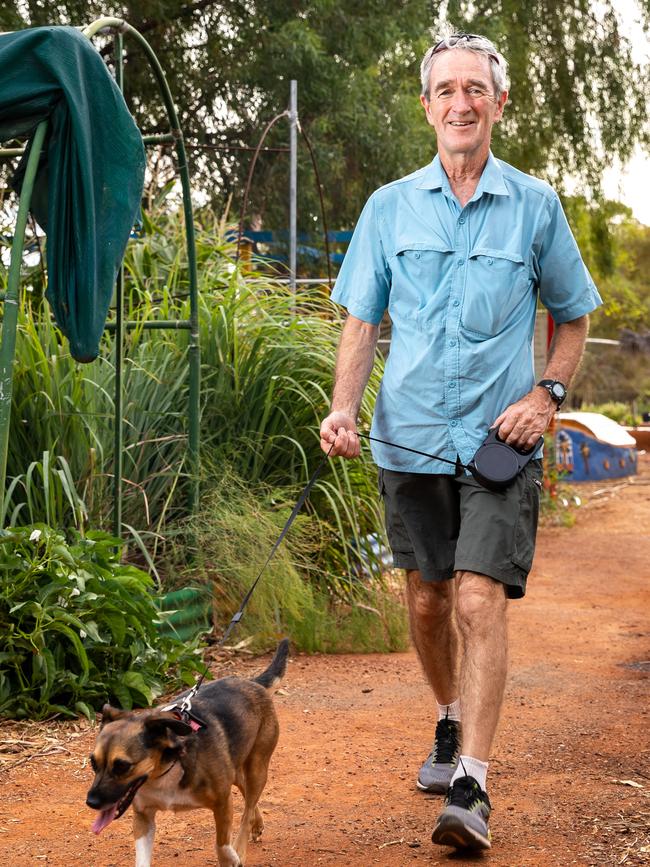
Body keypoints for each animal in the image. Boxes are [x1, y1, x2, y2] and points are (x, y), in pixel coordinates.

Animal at [86, 636, 288, 867]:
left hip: (257, 767)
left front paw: (232, 855)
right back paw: (257, 824)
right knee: (247, 795)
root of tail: (252, 683)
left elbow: (221, 845)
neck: (167, 768)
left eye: (122, 766)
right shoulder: (144, 816)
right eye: (93, 763)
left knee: (247, 809)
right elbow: (142, 860)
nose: (91, 802)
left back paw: (241, 846)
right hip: (235, 768)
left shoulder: (222, 802)